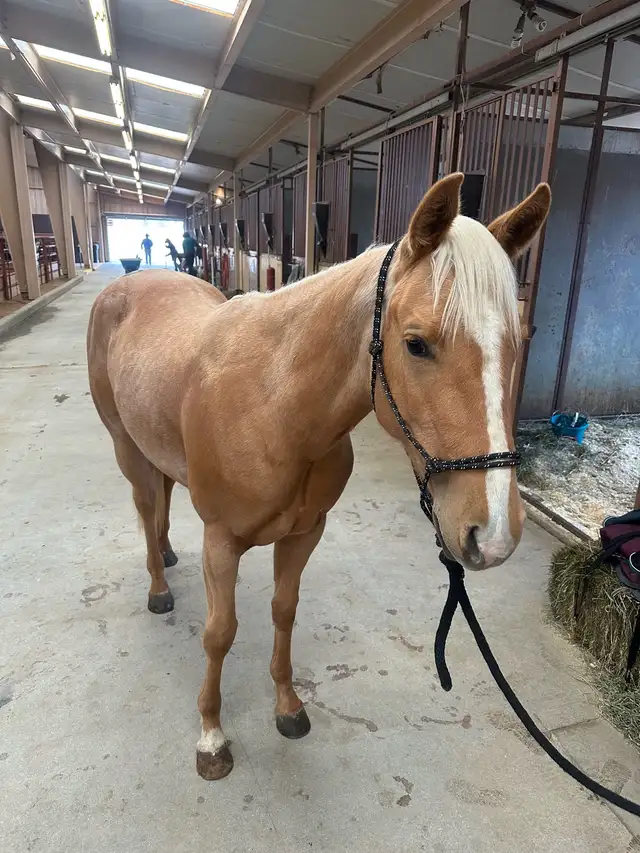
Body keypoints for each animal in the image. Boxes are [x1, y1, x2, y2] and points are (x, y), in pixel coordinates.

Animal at [86, 173, 551, 781]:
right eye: (416, 343)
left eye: (517, 342)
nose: (492, 535)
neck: (273, 402)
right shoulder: (221, 540)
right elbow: (219, 633)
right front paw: (211, 736)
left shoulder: (305, 534)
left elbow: (284, 612)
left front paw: (288, 708)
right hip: (125, 446)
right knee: (146, 505)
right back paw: (158, 587)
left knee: (161, 494)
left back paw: (164, 554)